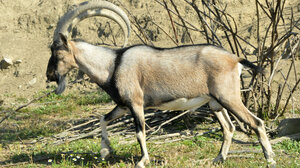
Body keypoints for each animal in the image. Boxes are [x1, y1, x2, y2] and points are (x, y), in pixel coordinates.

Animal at [46, 0, 276, 167]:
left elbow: (140, 132)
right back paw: (218, 159)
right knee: (229, 128)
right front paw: (104, 151)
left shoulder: (136, 104)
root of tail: (235, 59)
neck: (113, 65)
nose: (49, 75)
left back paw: (270, 159)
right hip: (215, 102)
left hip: (229, 97)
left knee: (256, 122)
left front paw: (142, 161)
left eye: (56, 51)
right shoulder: (123, 105)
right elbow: (103, 119)